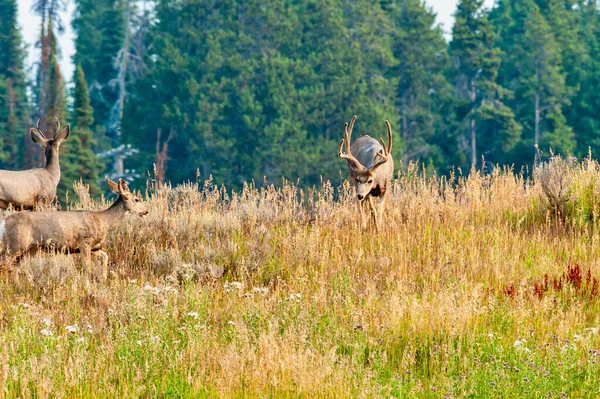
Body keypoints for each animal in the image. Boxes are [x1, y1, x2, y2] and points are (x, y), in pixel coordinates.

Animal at [0, 177, 149, 282]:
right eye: (137, 199)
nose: (146, 211)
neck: (103, 222)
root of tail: (3, 223)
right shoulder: (85, 242)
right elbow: (88, 268)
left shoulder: (94, 247)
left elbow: (105, 256)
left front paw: (104, 278)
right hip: (14, 244)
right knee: (4, 265)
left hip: (29, 248)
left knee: (14, 269)